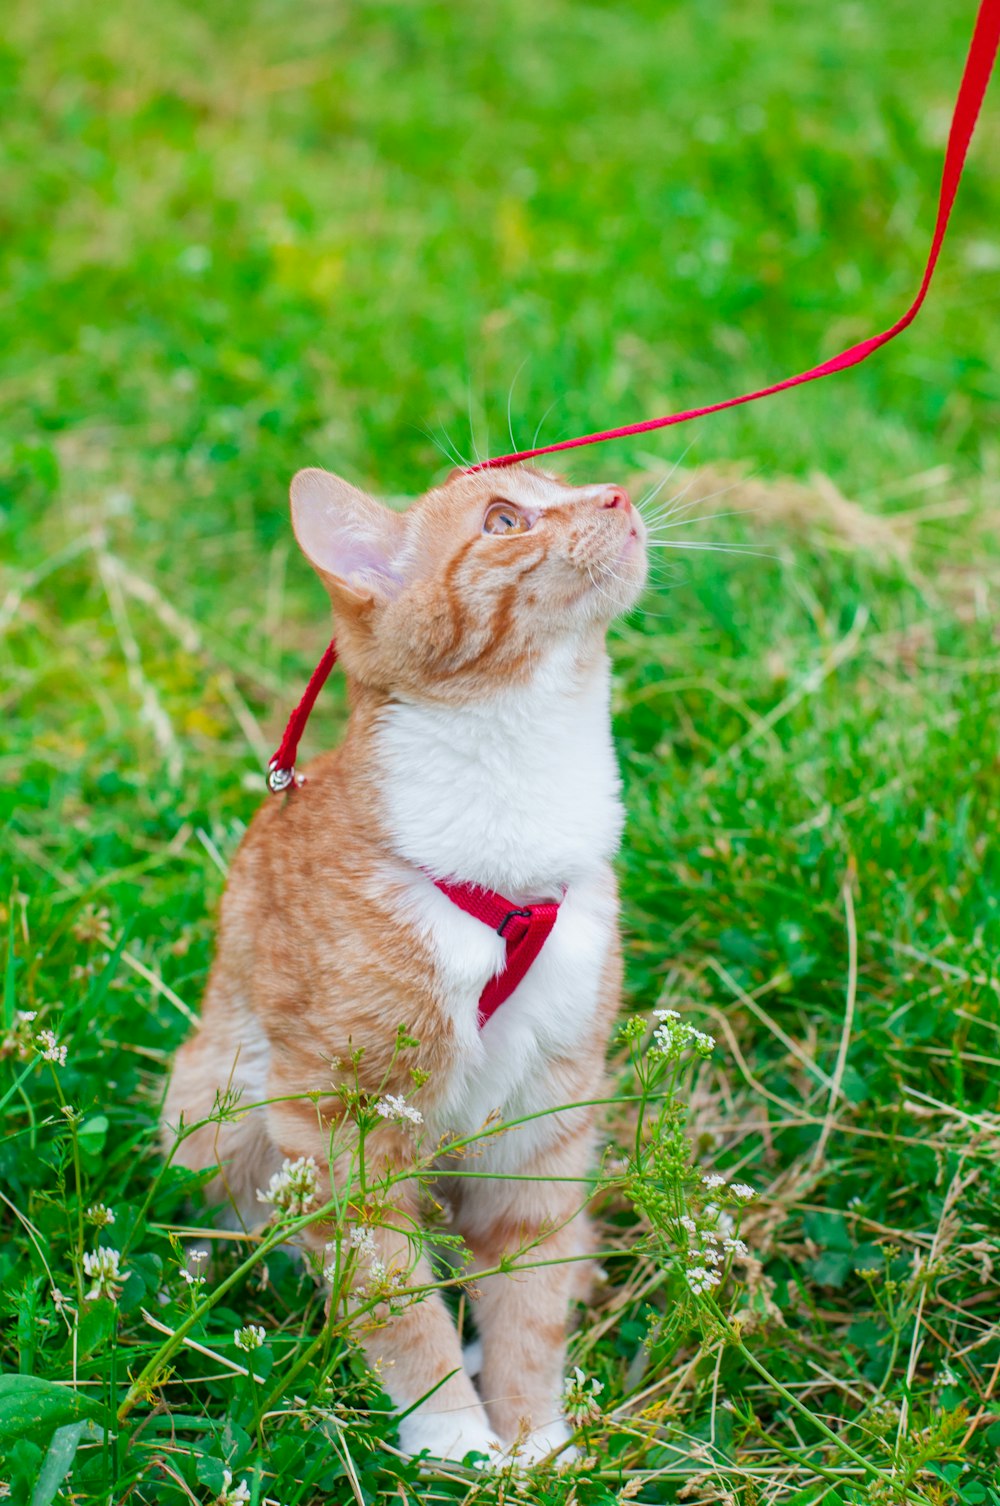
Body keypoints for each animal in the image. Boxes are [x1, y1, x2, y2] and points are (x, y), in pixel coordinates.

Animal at [161, 463, 647, 1463]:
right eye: (503, 520)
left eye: (567, 479)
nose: (617, 495)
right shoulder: (336, 1118)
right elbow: (392, 1298)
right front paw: (452, 1438)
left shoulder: (549, 1112)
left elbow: (530, 1297)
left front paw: (533, 1440)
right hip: (211, 1112)